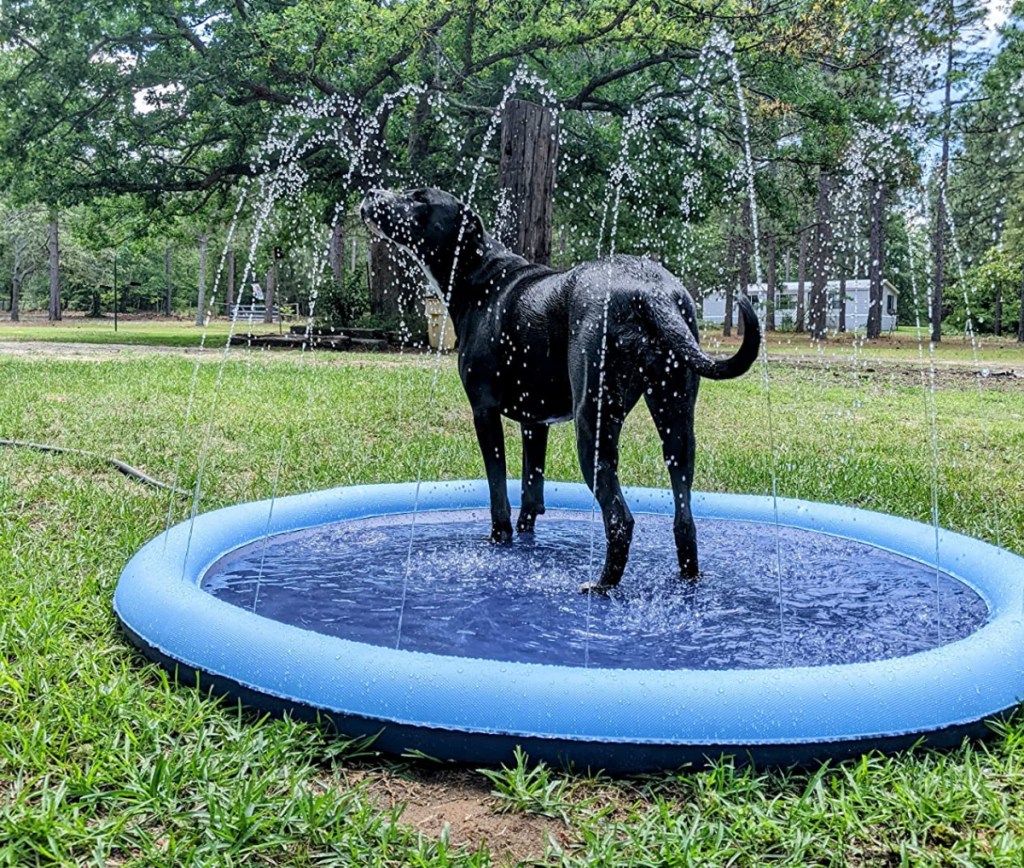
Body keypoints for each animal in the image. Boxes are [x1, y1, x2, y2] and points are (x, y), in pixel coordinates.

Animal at [362, 189, 761, 593]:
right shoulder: (535, 423)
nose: (372, 193)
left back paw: (602, 586)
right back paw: (686, 579)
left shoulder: (484, 412)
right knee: (684, 519)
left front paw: (500, 540)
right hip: (676, 421)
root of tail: (649, 291)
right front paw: (526, 537)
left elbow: (498, 491)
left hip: (593, 422)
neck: (479, 275)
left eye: (419, 199)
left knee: (620, 519)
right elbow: (531, 490)